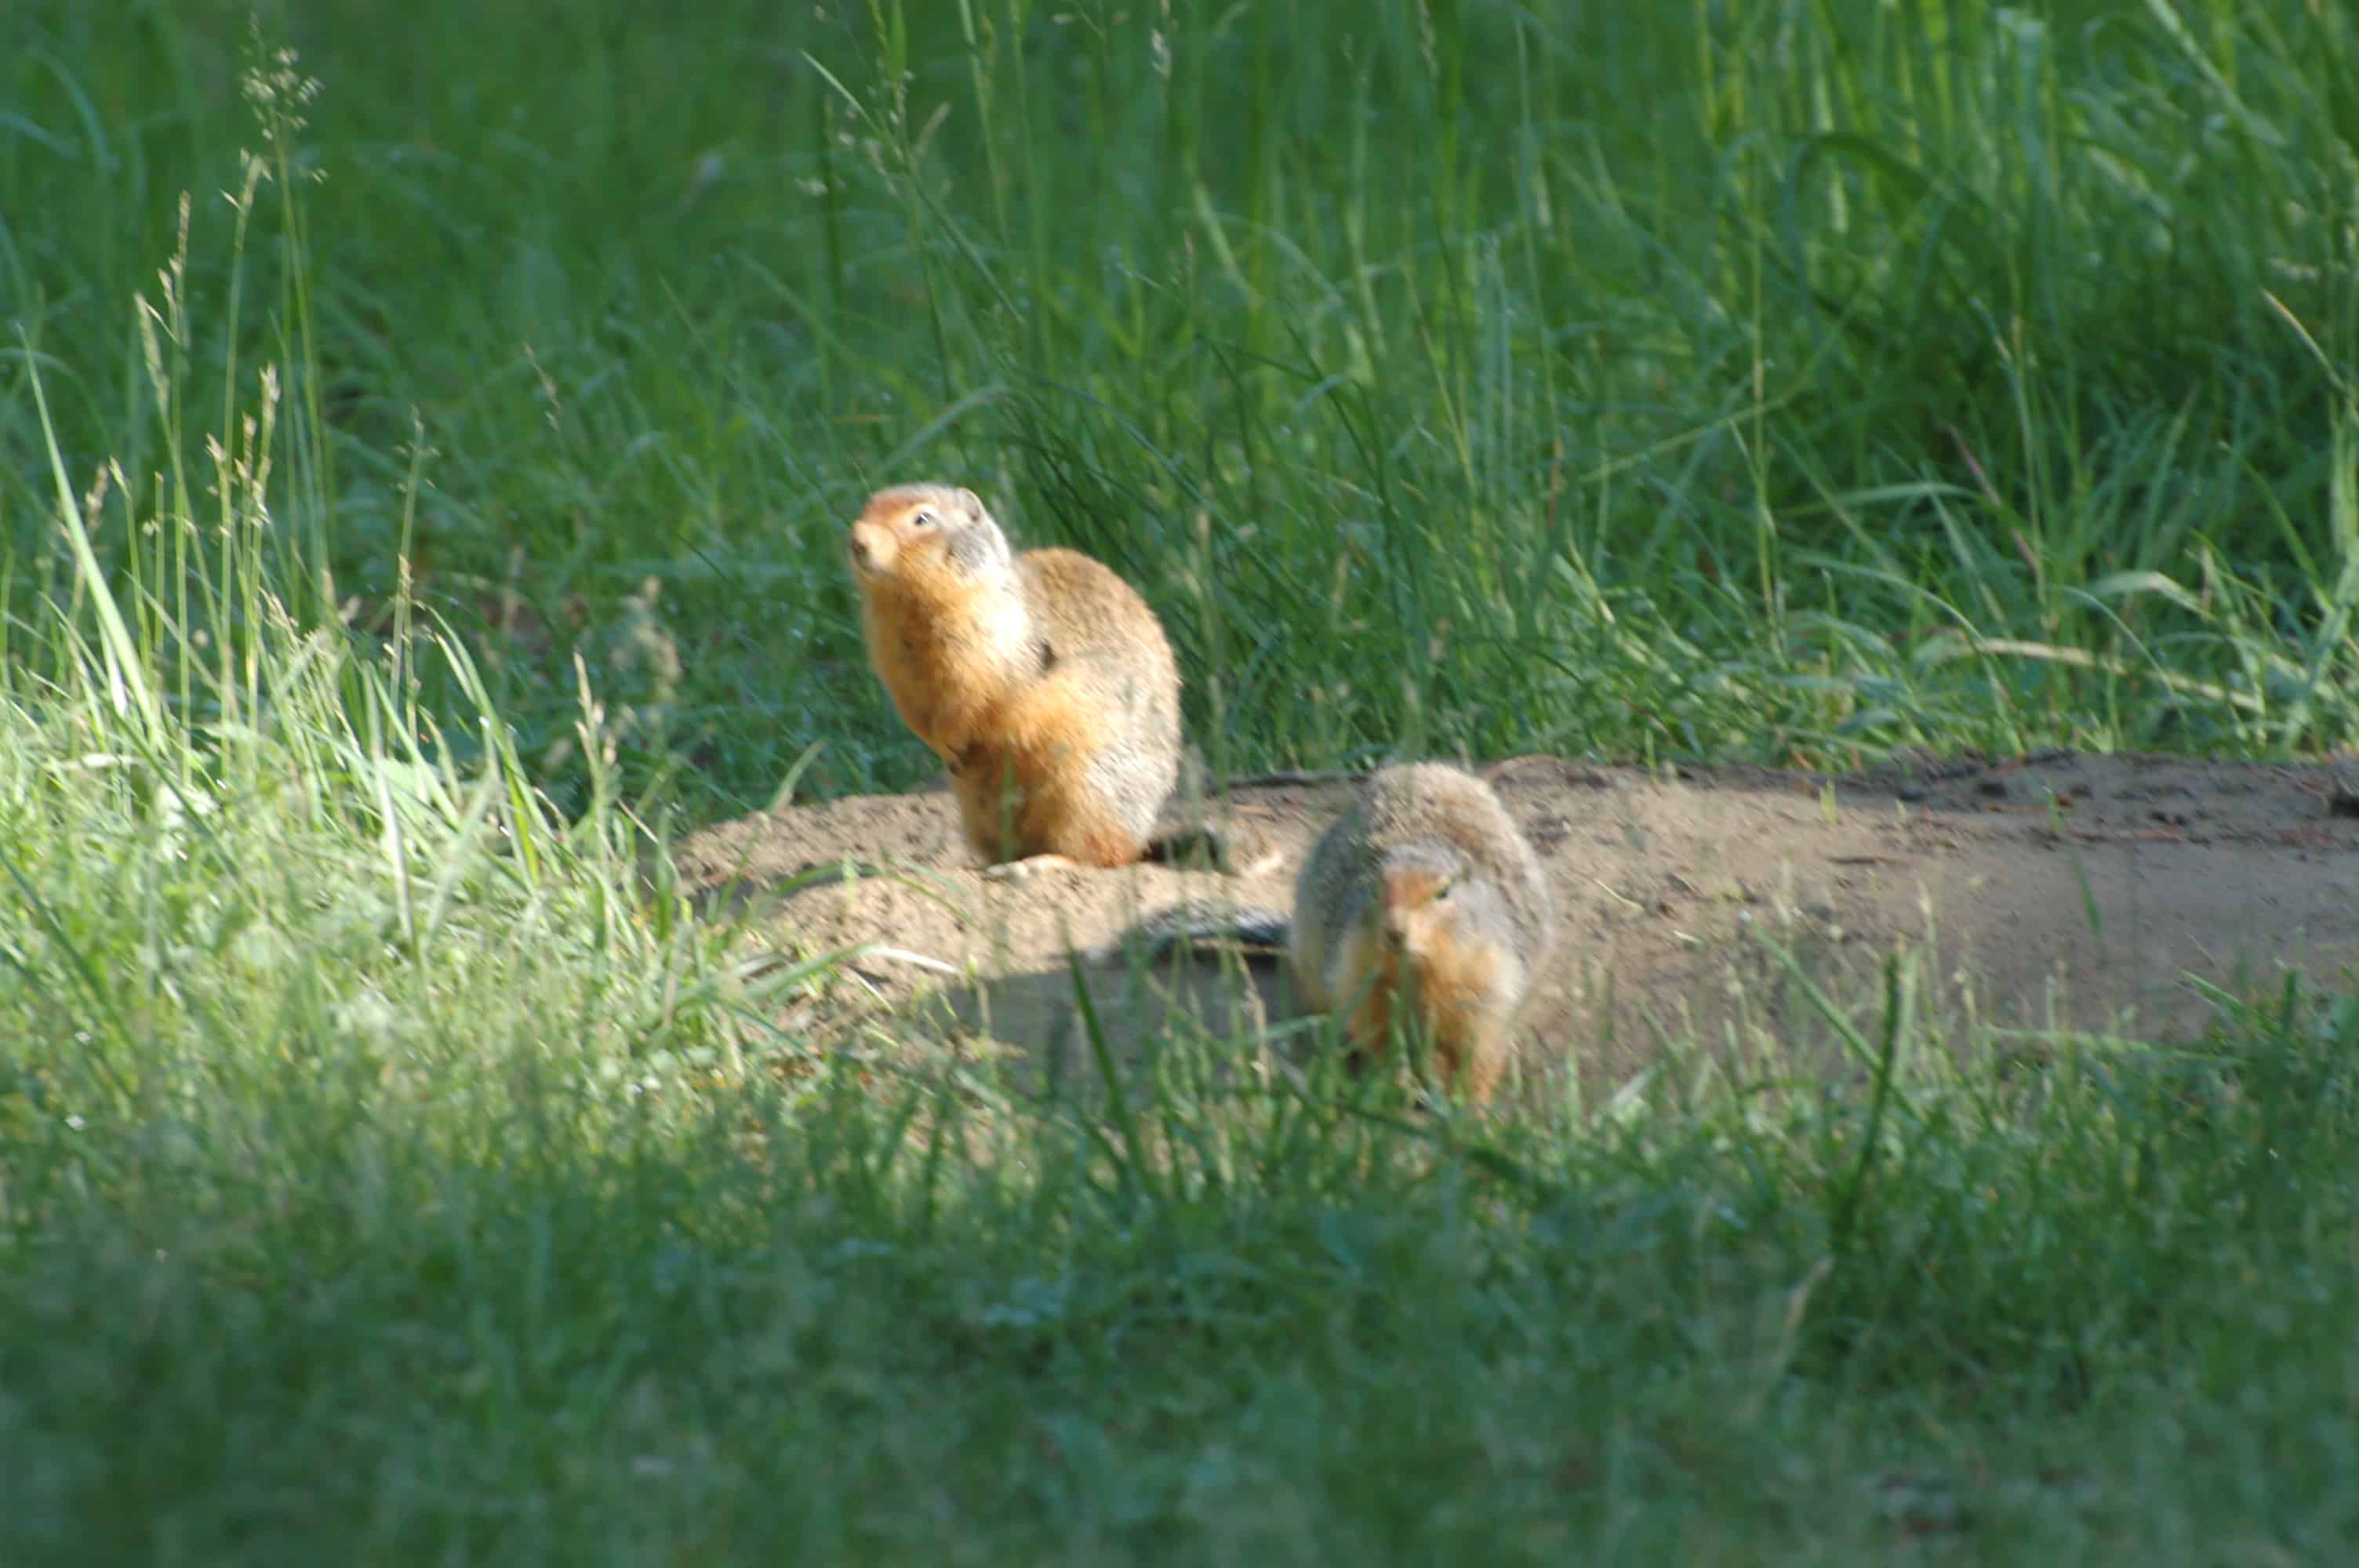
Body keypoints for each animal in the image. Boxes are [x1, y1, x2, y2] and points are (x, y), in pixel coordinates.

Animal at [847, 482, 1253, 878]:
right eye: (867, 506)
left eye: (923, 518)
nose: (857, 540)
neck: (911, 612)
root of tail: (1144, 839)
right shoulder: (895, 667)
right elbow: (917, 715)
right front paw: (945, 750)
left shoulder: (989, 652)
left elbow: (979, 702)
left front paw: (958, 740)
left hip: (1086, 791)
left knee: (1103, 855)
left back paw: (1037, 864)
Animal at [1104, 762, 1556, 1104]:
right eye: (1373, 886)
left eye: (1443, 892)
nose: (1394, 931)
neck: (1417, 970)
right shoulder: (1358, 975)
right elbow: (1376, 1034)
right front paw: (1395, 1082)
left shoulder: (1489, 980)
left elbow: (1481, 1051)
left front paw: (1468, 1104)